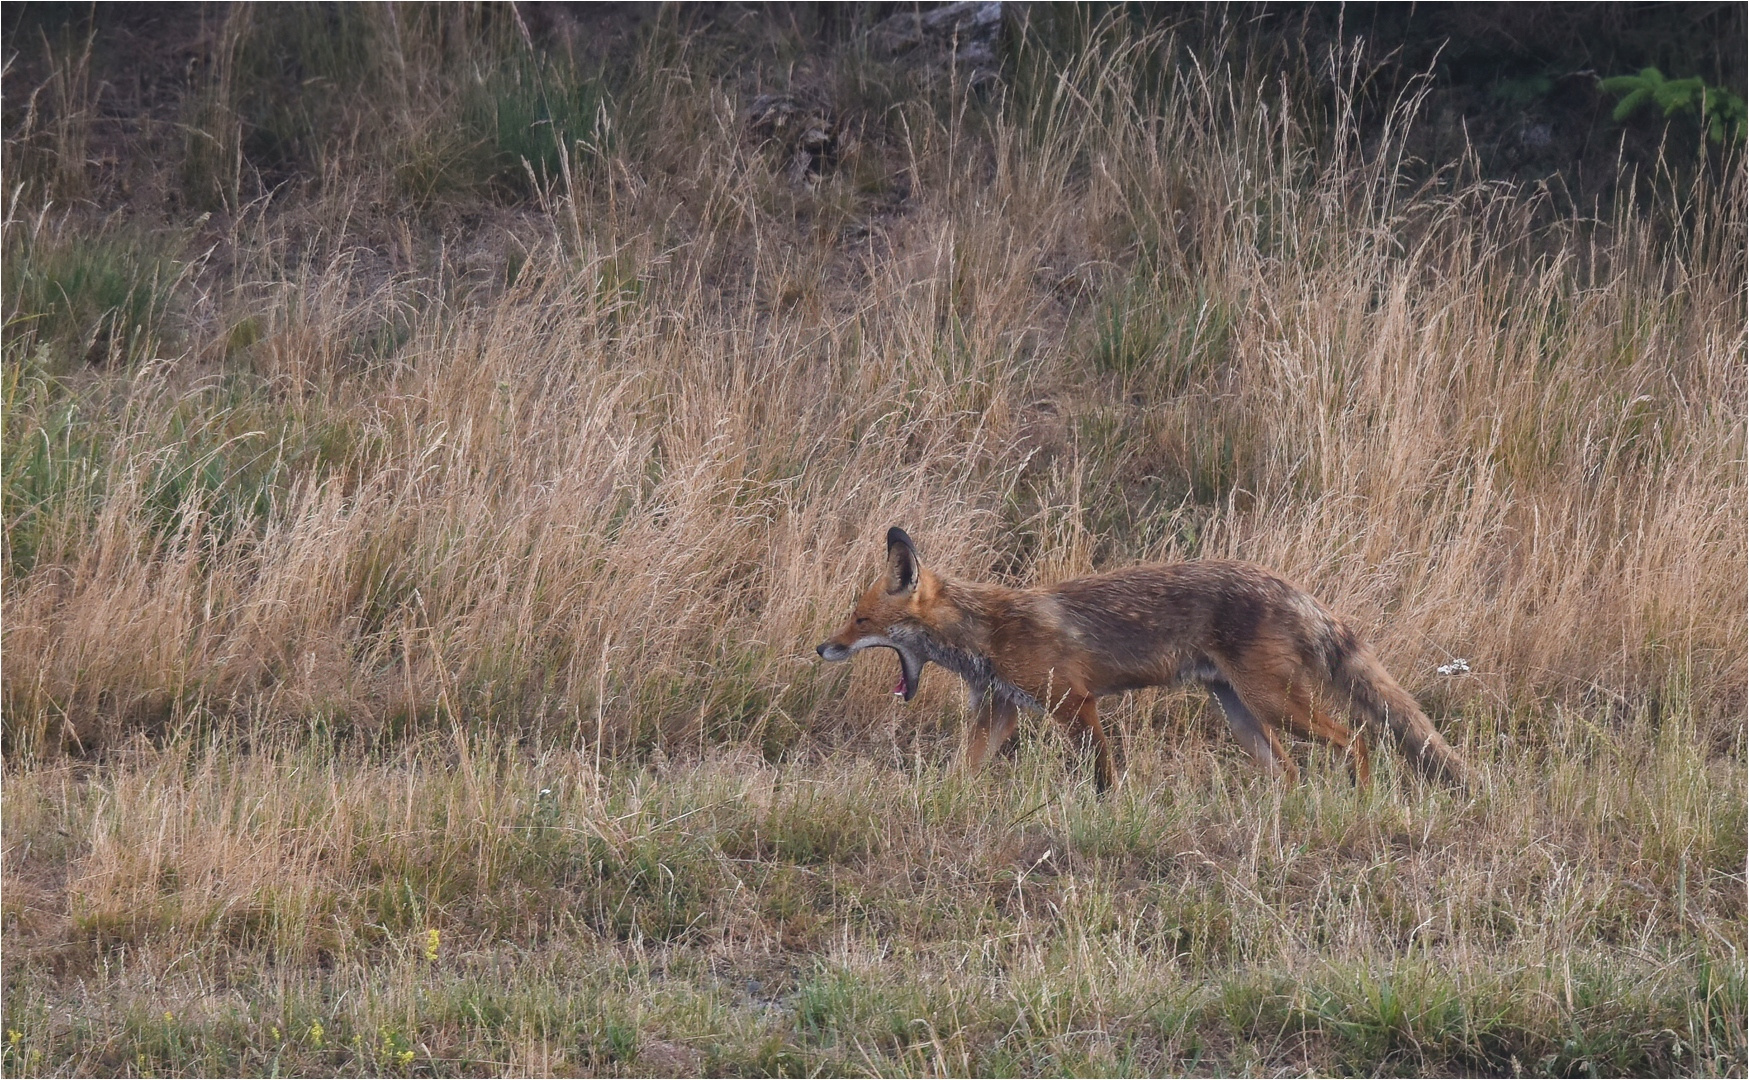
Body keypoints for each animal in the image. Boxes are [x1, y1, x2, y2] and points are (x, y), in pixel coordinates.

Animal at [811, 528, 1469, 791]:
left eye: (860, 621)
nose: (823, 648)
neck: (988, 634)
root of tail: (1294, 588)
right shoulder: (1000, 709)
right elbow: (960, 772)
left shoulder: (1074, 704)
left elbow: (1103, 775)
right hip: (1241, 714)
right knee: (1290, 771)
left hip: (1276, 705)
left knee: (1357, 740)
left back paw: (1359, 800)